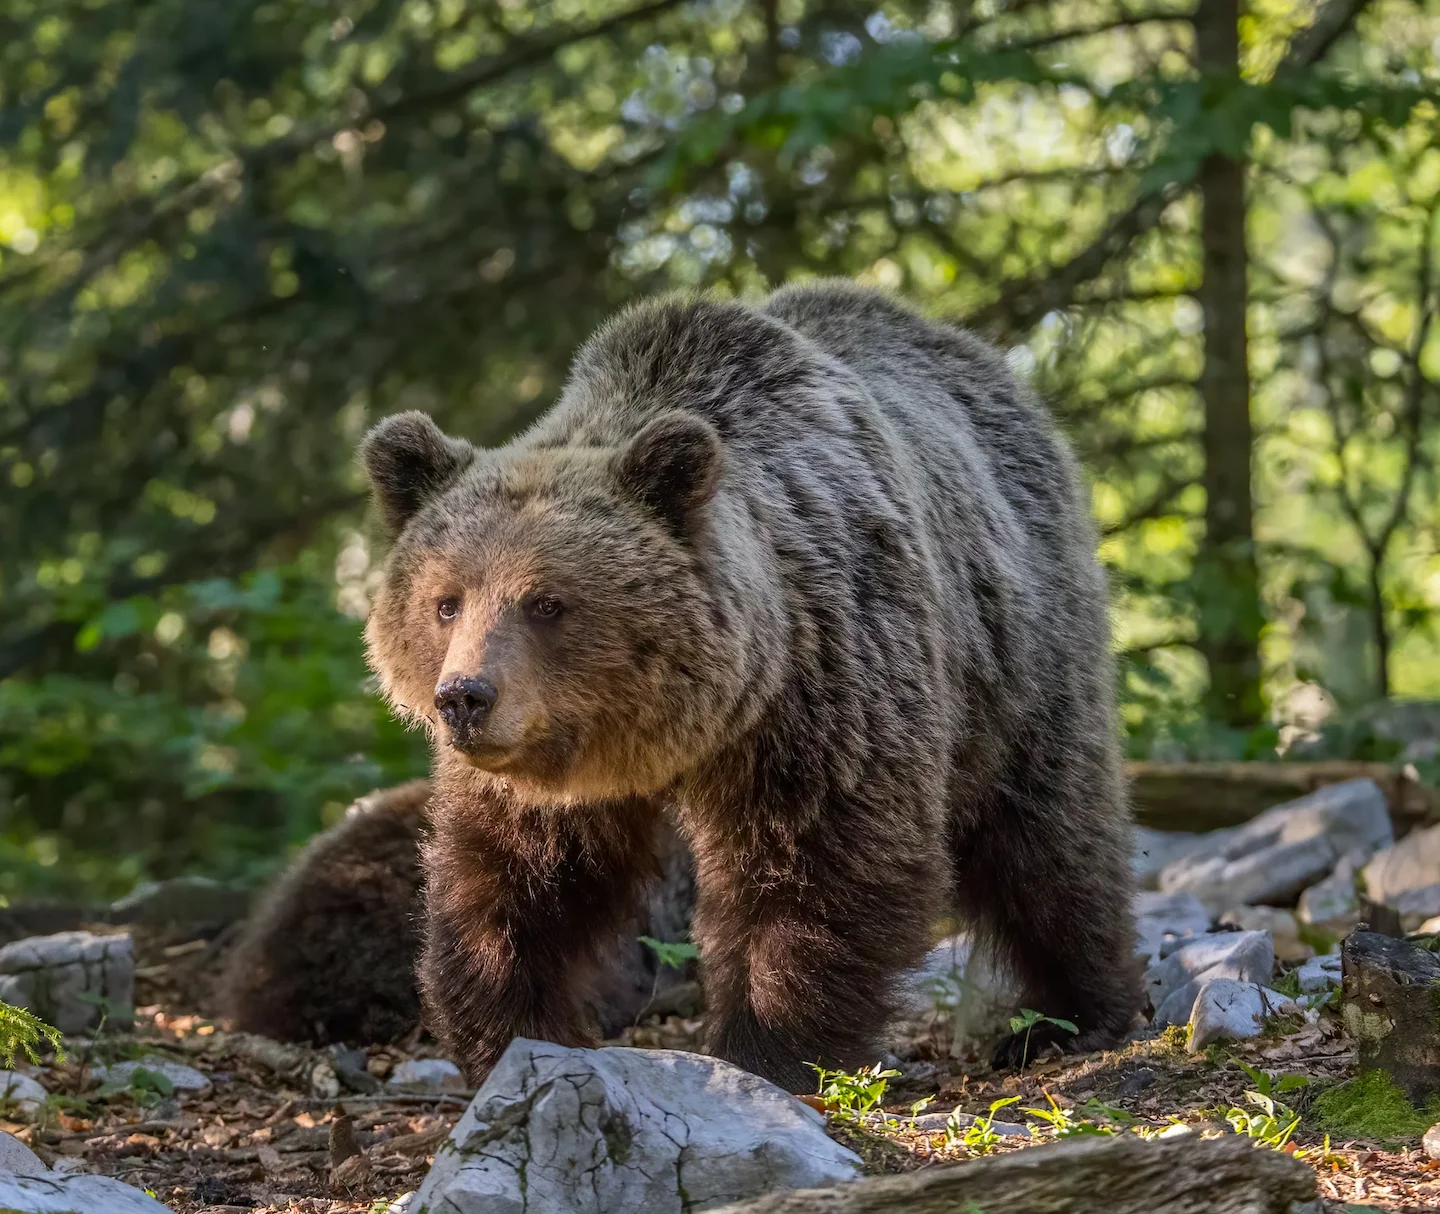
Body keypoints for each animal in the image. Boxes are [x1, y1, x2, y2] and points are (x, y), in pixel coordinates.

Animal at [359, 280, 1140, 1090]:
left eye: (546, 602)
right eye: (446, 601)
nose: (465, 697)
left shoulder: (825, 687)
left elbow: (818, 866)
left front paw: (768, 1050)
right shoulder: (541, 771)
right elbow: (513, 881)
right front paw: (512, 1033)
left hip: (1019, 650)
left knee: (1048, 836)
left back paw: (1069, 1015)